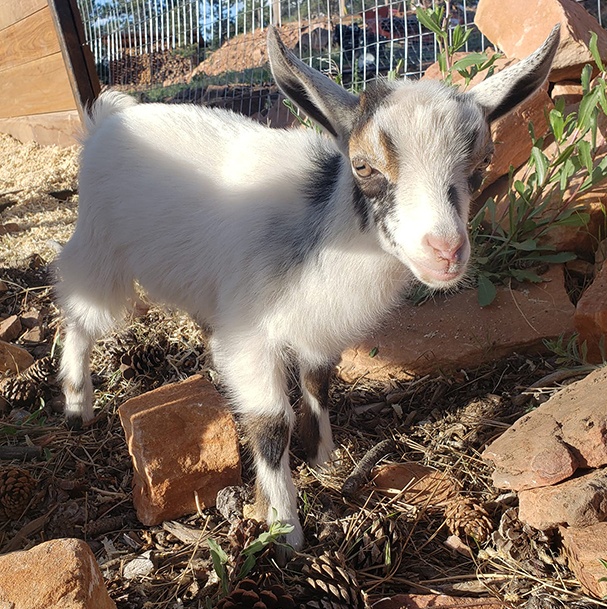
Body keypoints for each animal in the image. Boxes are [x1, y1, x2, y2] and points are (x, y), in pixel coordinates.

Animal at [57, 25, 560, 556]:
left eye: (483, 161)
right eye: (363, 167)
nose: (445, 251)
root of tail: (108, 119)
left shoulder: (320, 328)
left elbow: (318, 381)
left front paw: (324, 455)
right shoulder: (251, 337)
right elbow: (270, 422)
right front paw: (286, 528)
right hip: (100, 247)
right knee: (77, 310)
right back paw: (77, 402)